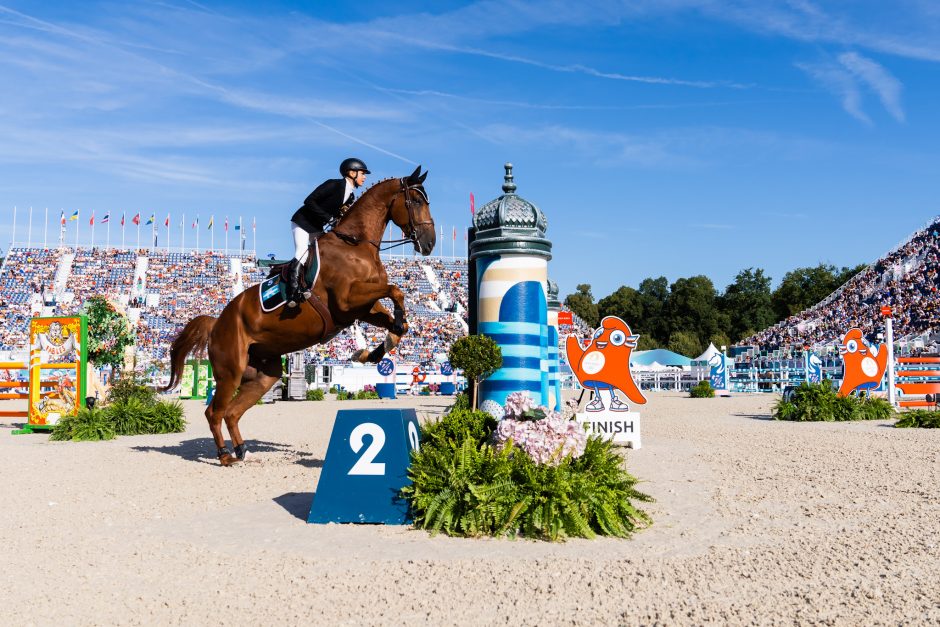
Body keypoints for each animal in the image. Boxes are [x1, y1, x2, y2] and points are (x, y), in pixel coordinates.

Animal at [163, 167, 436, 466]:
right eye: (416, 201)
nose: (429, 243)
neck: (356, 244)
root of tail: (216, 323)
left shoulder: (362, 307)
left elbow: (399, 321)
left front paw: (371, 352)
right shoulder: (347, 300)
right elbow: (396, 290)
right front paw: (383, 335)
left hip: (263, 375)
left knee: (232, 412)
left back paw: (241, 450)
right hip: (230, 372)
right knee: (215, 412)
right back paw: (225, 456)